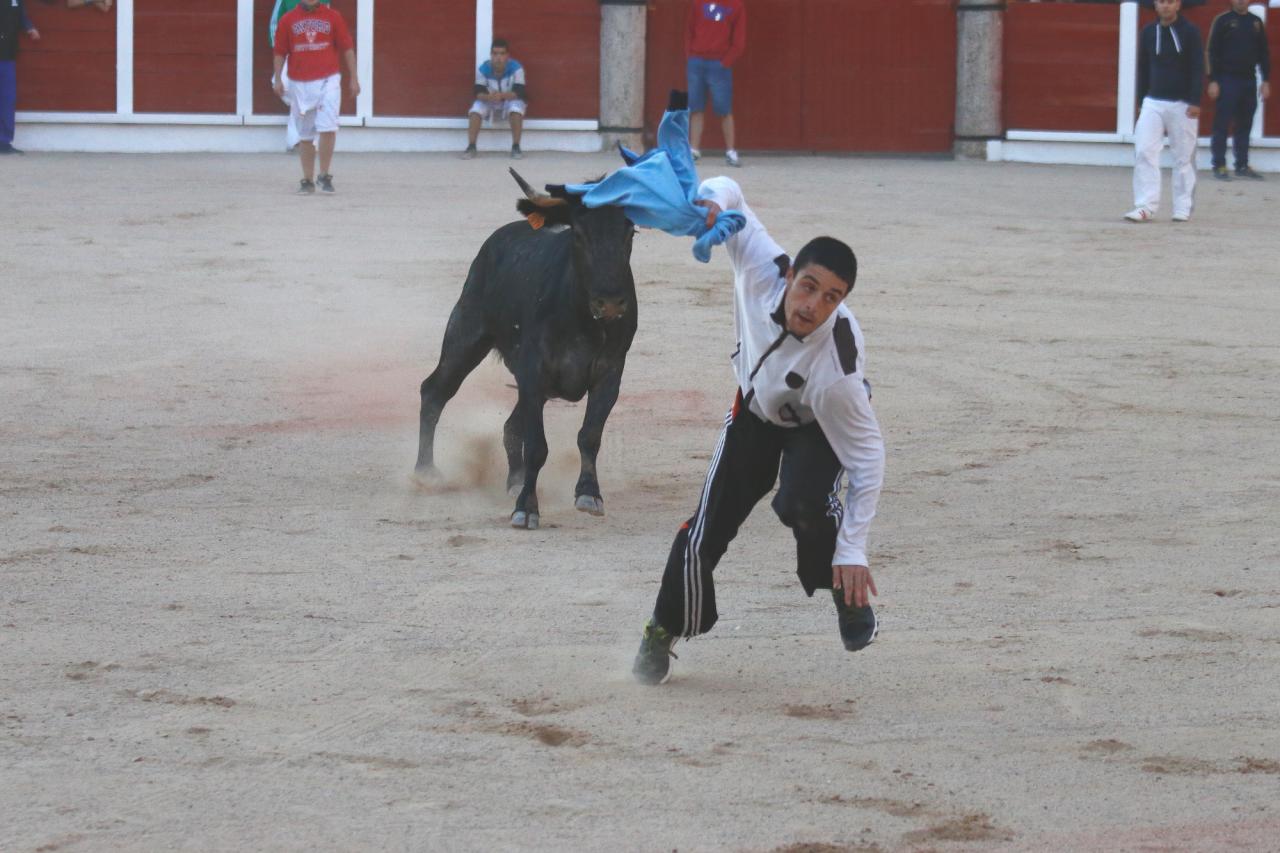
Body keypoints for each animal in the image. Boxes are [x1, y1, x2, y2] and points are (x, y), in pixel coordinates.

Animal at [414, 169, 638, 530]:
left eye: (631, 231)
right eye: (578, 232)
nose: (611, 303)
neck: (582, 318)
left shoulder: (609, 373)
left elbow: (589, 435)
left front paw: (589, 494)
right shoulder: (534, 371)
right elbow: (537, 446)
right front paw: (527, 508)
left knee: (510, 425)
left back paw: (515, 480)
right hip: (465, 335)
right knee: (434, 391)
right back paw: (426, 472)